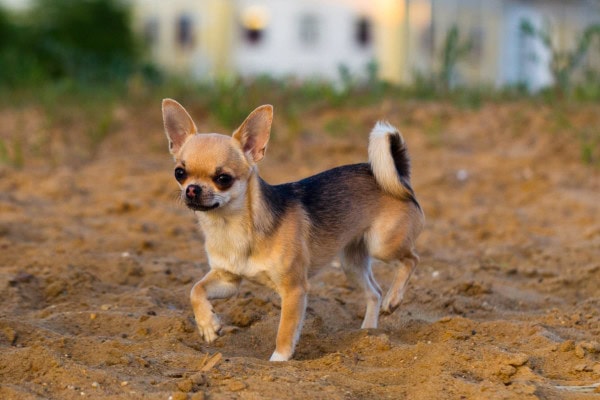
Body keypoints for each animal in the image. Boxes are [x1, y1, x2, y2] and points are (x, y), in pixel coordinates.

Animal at [162, 98, 424, 360]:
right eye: (179, 173)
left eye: (223, 178)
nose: (192, 189)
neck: (229, 227)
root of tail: (400, 176)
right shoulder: (228, 280)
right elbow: (195, 290)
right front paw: (208, 325)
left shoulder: (294, 290)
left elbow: (285, 331)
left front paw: (278, 361)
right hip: (351, 264)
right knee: (374, 292)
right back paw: (368, 333)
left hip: (383, 245)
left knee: (411, 260)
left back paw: (393, 299)